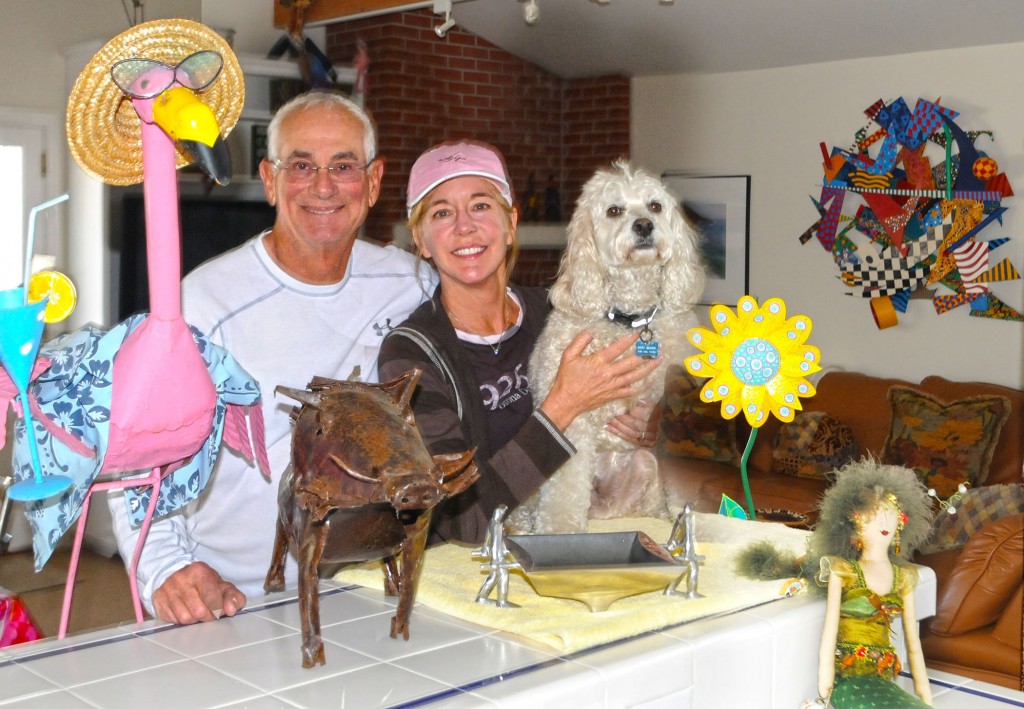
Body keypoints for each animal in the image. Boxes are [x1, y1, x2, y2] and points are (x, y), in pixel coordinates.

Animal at [509, 160, 704, 532]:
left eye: (655, 206)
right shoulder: (572, 424)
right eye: (614, 210)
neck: (629, 319)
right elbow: (564, 492)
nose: (644, 225)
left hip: (643, 463)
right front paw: (561, 531)